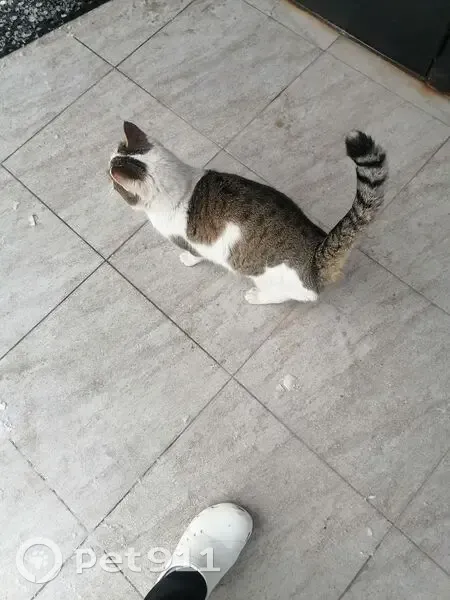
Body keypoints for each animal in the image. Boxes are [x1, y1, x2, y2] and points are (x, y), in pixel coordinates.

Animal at [109, 122, 387, 305]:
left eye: (112, 181)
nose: (105, 179)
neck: (183, 187)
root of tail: (315, 255)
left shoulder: (189, 242)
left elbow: (194, 254)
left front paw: (187, 260)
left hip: (266, 278)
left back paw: (255, 296)